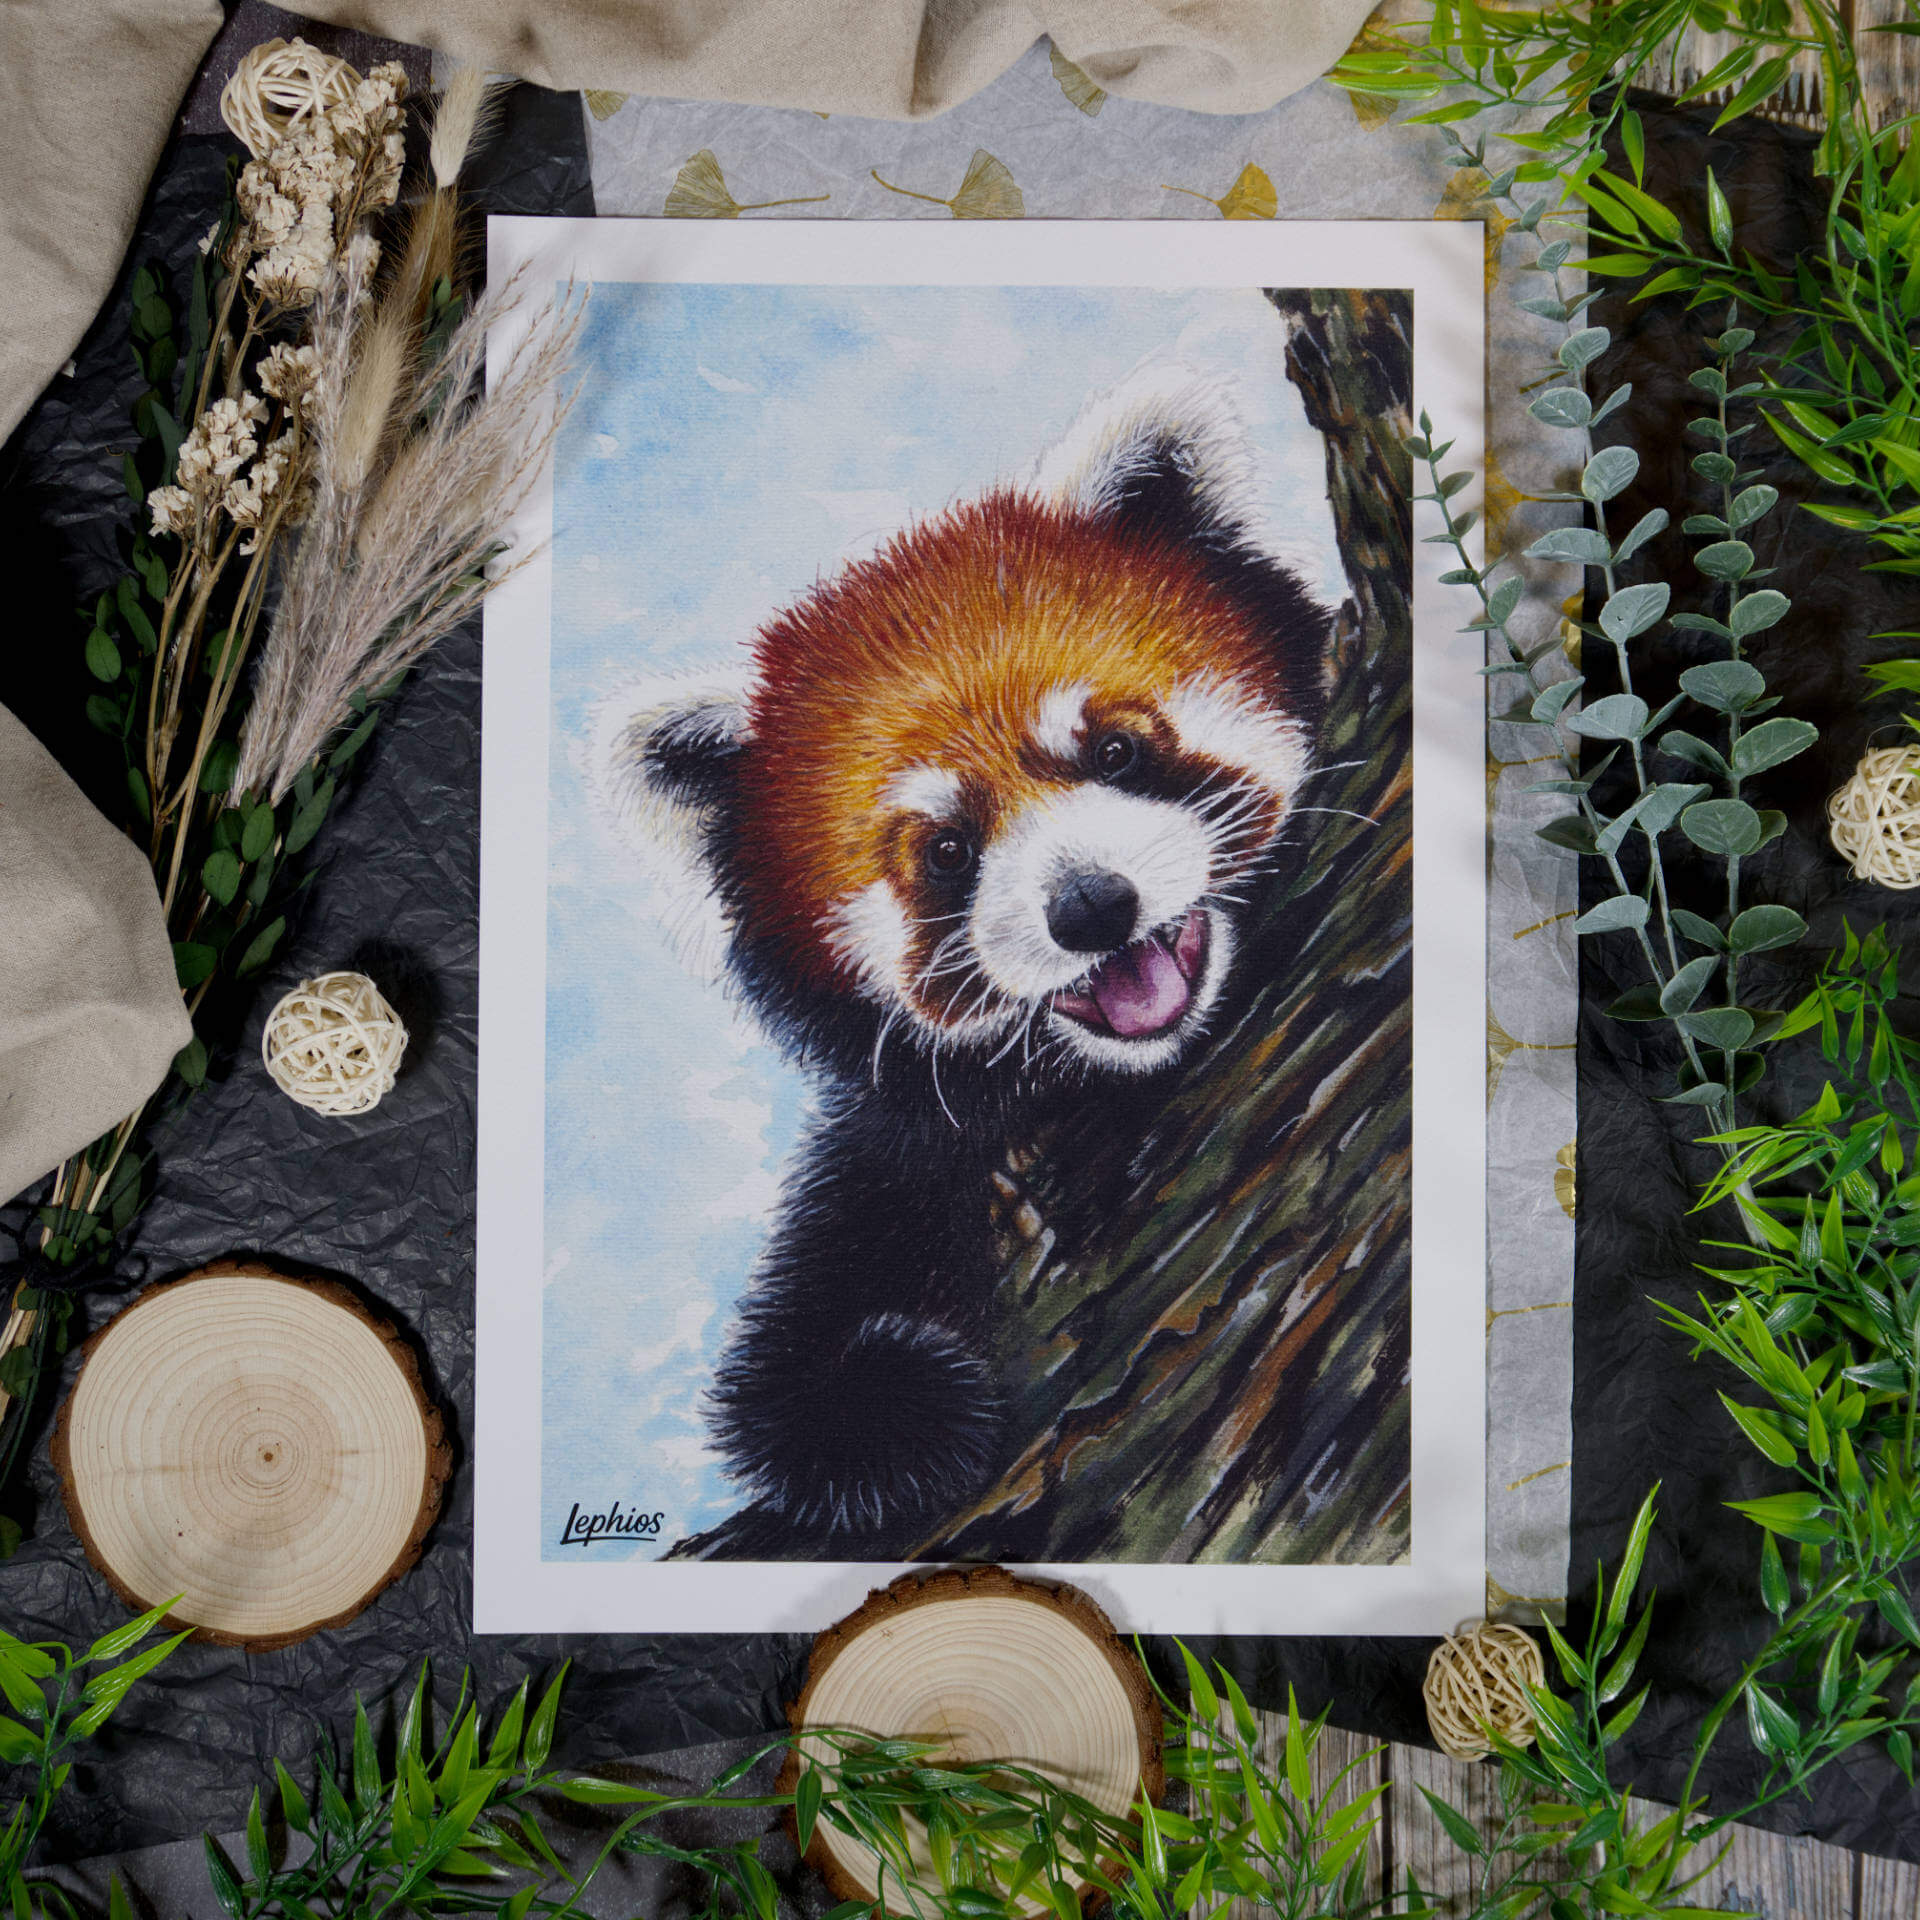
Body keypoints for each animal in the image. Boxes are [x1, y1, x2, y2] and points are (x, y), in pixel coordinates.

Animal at [600, 365, 1331, 1539]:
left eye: (1116, 750)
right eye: (947, 851)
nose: (1091, 907)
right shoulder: (896, 1149)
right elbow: (807, 1348)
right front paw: (883, 1406)